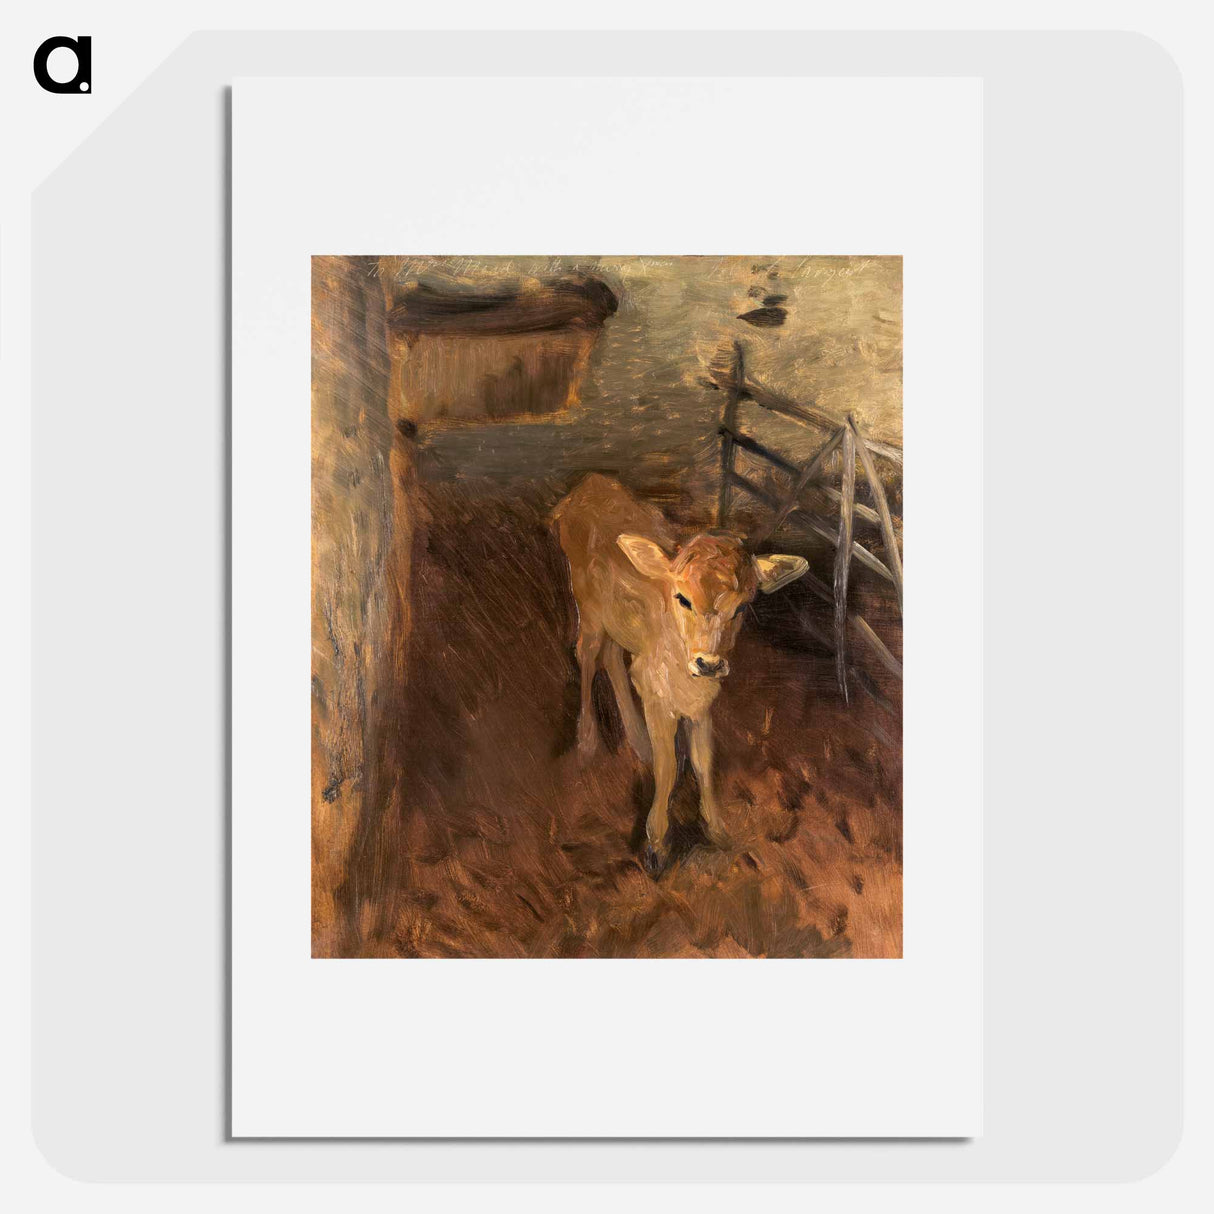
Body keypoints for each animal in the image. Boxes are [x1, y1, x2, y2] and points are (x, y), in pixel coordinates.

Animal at [553, 474, 808, 875]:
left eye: (742, 606)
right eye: (683, 598)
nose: (709, 662)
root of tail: (586, 485)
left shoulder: (700, 702)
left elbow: (704, 762)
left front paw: (717, 830)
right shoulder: (658, 697)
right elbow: (668, 767)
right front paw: (656, 845)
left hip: (616, 623)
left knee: (612, 657)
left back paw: (637, 740)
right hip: (587, 606)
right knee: (587, 654)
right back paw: (588, 740)